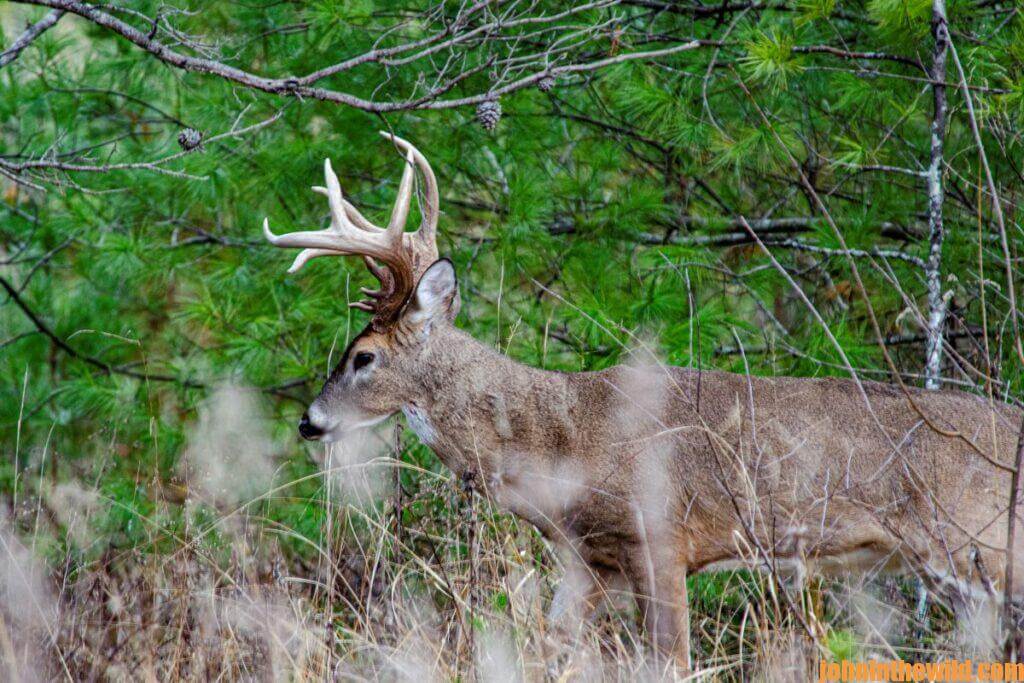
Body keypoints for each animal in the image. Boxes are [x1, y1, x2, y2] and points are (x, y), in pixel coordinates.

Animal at [262, 132, 1024, 667]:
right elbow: (552, 650)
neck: (559, 438)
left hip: (976, 544)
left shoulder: (661, 536)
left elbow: (673, 662)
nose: (308, 421)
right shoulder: (589, 561)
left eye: (363, 357)